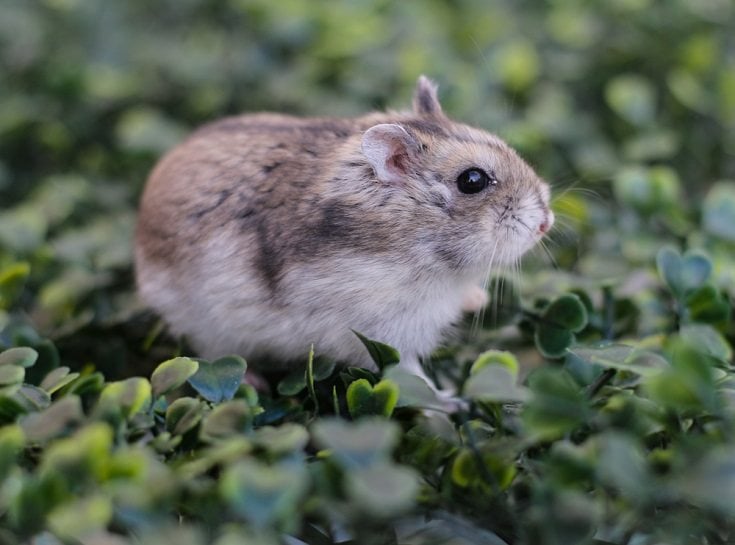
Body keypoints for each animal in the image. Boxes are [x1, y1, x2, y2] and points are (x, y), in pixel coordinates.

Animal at [134, 76, 553, 389]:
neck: (420, 247)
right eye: (472, 180)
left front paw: (478, 299)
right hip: (209, 328)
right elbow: (410, 377)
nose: (546, 222)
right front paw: (451, 403)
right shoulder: (381, 334)